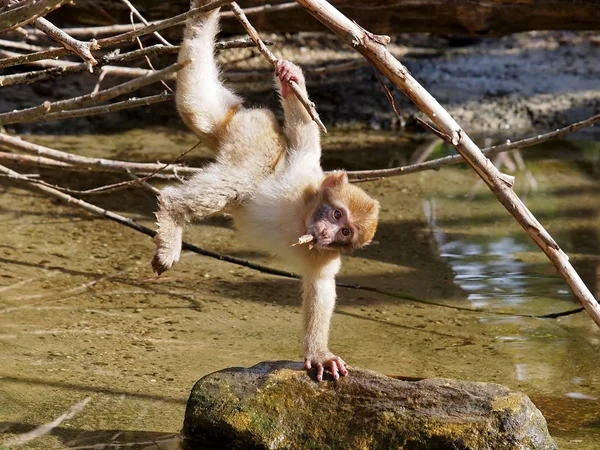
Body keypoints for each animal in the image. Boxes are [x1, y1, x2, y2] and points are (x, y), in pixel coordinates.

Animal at [155, 0, 380, 382]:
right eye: (336, 213)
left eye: (345, 231)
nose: (326, 232)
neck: (303, 216)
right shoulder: (303, 169)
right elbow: (304, 132)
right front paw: (292, 82)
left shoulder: (325, 256)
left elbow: (321, 287)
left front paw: (319, 354)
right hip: (255, 136)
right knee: (237, 179)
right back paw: (172, 215)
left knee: (200, 113)